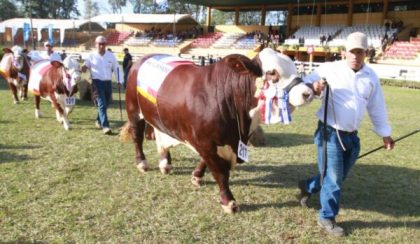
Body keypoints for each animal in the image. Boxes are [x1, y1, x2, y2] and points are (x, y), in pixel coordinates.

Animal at [120, 48, 314, 213]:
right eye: (272, 72)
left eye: (294, 67)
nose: (308, 92)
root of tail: (144, 58)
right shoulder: (205, 141)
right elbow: (220, 172)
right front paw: (228, 201)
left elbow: (206, 162)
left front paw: (196, 176)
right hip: (133, 110)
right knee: (137, 137)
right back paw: (142, 163)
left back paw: (165, 163)